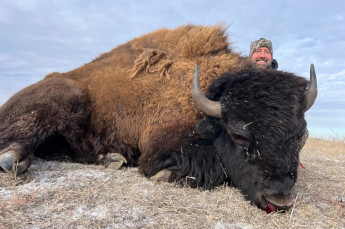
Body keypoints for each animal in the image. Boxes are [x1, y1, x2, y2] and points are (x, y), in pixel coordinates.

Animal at [0, 25, 316, 211]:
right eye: (239, 134)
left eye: (301, 136)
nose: (279, 199)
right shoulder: (160, 148)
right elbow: (208, 168)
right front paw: (165, 175)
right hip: (63, 99)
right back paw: (14, 161)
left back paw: (111, 158)